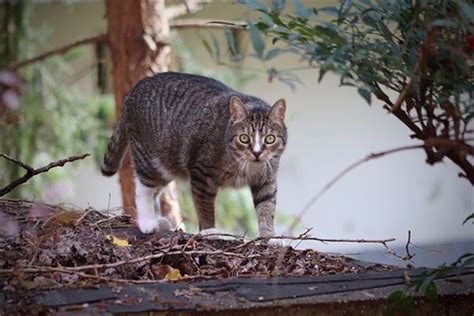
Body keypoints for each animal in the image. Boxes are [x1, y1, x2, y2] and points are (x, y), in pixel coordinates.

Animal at [100, 72, 286, 237]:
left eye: (269, 139)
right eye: (244, 138)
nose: (257, 152)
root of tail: (132, 91)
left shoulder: (266, 181)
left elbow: (266, 208)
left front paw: (270, 237)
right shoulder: (201, 175)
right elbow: (205, 207)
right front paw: (209, 231)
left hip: (166, 165)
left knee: (155, 190)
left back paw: (158, 220)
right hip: (149, 159)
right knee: (143, 188)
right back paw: (148, 222)